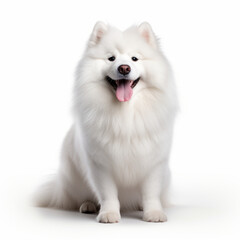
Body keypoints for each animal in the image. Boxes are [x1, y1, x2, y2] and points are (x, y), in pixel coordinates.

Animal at [35, 21, 178, 222]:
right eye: (111, 58)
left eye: (135, 58)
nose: (124, 68)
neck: (125, 113)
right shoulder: (100, 164)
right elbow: (108, 193)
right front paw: (109, 214)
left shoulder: (153, 163)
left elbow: (151, 192)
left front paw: (153, 213)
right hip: (73, 177)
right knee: (81, 196)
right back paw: (88, 205)